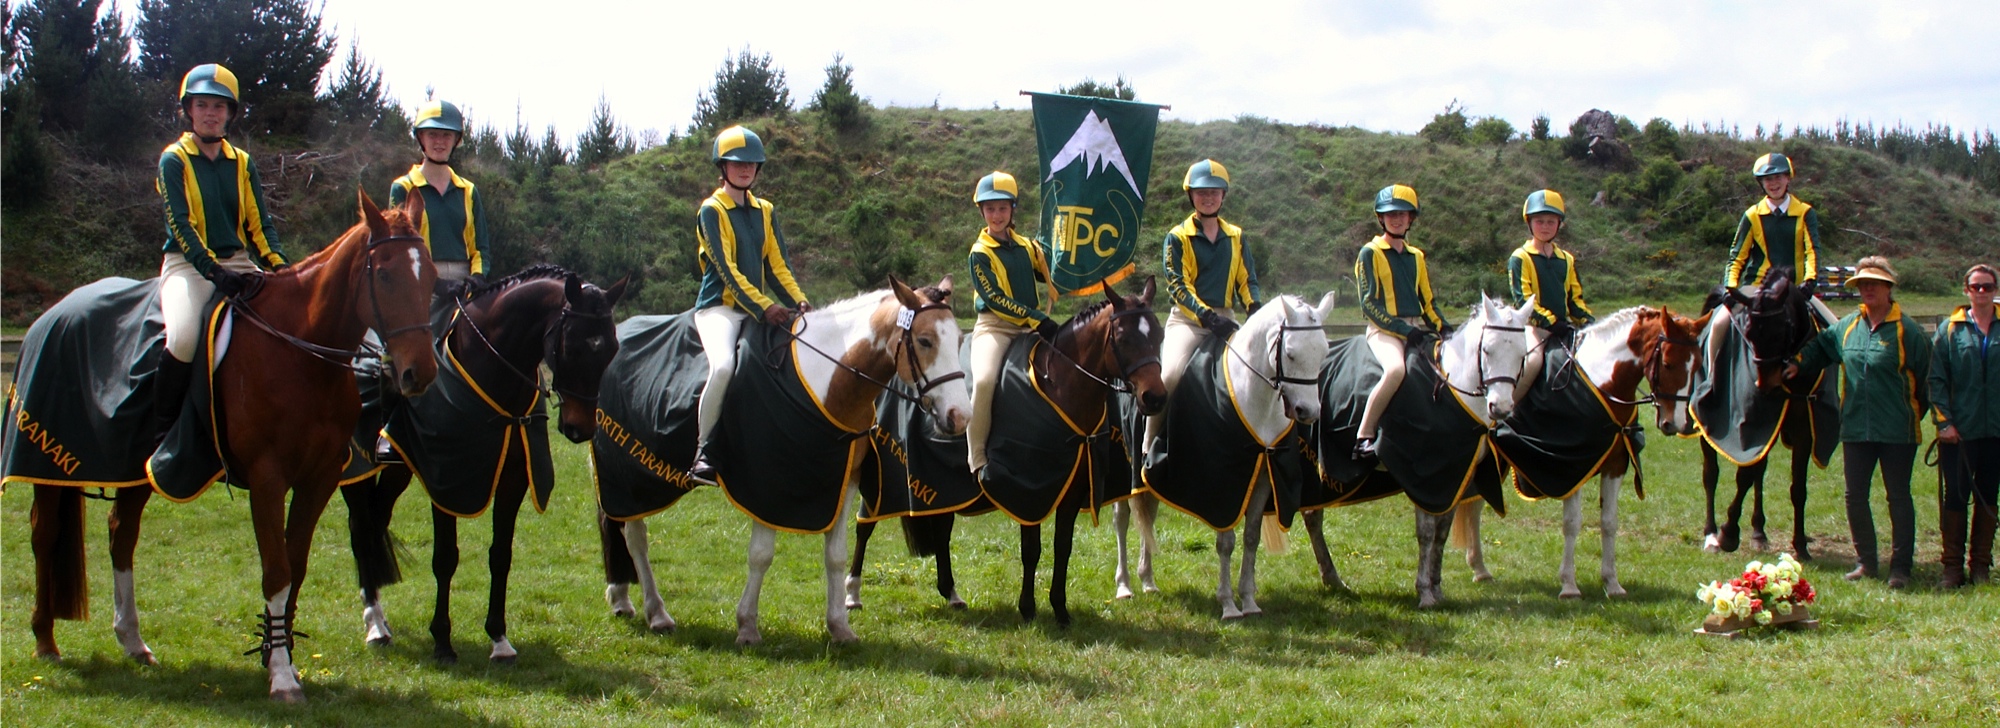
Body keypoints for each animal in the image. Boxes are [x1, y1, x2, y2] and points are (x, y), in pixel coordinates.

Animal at [27, 191, 436, 704]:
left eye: (432, 276)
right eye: (384, 274)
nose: (419, 373)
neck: (301, 356)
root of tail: (54, 313)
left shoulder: (319, 478)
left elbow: (295, 566)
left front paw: (280, 655)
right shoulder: (267, 477)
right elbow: (277, 570)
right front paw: (281, 676)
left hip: (136, 470)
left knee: (122, 533)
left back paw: (132, 641)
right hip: (48, 465)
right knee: (45, 536)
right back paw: (45, 640)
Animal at [342, 268, 624, 664]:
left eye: (611, 349)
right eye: (572, 346)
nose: (579, 428)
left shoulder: (512, 480)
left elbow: (500, 555)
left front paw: (499, 638)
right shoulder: (446, 481)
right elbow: (445, 558)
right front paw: (442, 640)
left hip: (398, 469)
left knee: (376, 520)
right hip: (356, 467)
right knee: (360, 528)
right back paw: (374, 621)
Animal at [600, 278, 968, 644]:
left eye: (959, 340)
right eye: (925, 340)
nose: (960, 417)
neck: (826, 382)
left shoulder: (844, 480)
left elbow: (835, 556)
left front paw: (840, 626)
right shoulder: (767, 483)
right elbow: (761, 555)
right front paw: (747, 626)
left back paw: (624, 599)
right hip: (629, 474)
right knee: (635, 537)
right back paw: (655, 612)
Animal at [1120, 292, 1336, 620]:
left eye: (1323, 351)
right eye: (1290, 354)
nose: (1308, 412)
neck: (1252, 397)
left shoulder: (1262, 476)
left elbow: (1251, 537)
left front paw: (1249, 600)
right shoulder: (1224, 484)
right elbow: (1226, 542)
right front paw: (1228, 604)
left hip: (1148, 479)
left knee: (1149, 515)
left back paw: (1148, 581)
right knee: (1122, 520)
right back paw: (1124, 586)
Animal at [1304, 294, 1536, 608]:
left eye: (1522, 353)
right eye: (1487, 349)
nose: (1500, 407)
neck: (1450, 389)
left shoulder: (1454, 476)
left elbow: (1442, 533)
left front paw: (1437, 588)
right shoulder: (1424, 476)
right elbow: (1426, 533)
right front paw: (1425, 592)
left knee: (1312, 516)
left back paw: (1332, 579)